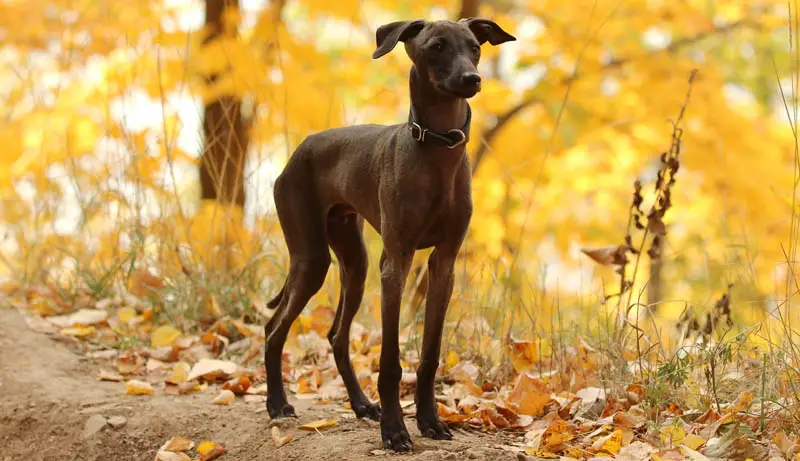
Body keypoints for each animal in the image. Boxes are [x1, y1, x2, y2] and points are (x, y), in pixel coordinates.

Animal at [260, 17, 512, 450]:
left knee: (336, 336)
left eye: (475, 47)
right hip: (312, 259)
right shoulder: (396, 261)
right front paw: (395, 431)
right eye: (435, 46)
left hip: (355, 263)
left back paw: (361, 405)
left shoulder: (443, 265)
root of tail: (299, 150)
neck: (437, 151)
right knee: (274, 328)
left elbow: (429, 356)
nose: (472, 79)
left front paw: (430, 421)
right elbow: (391, 361)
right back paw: (277, 403)